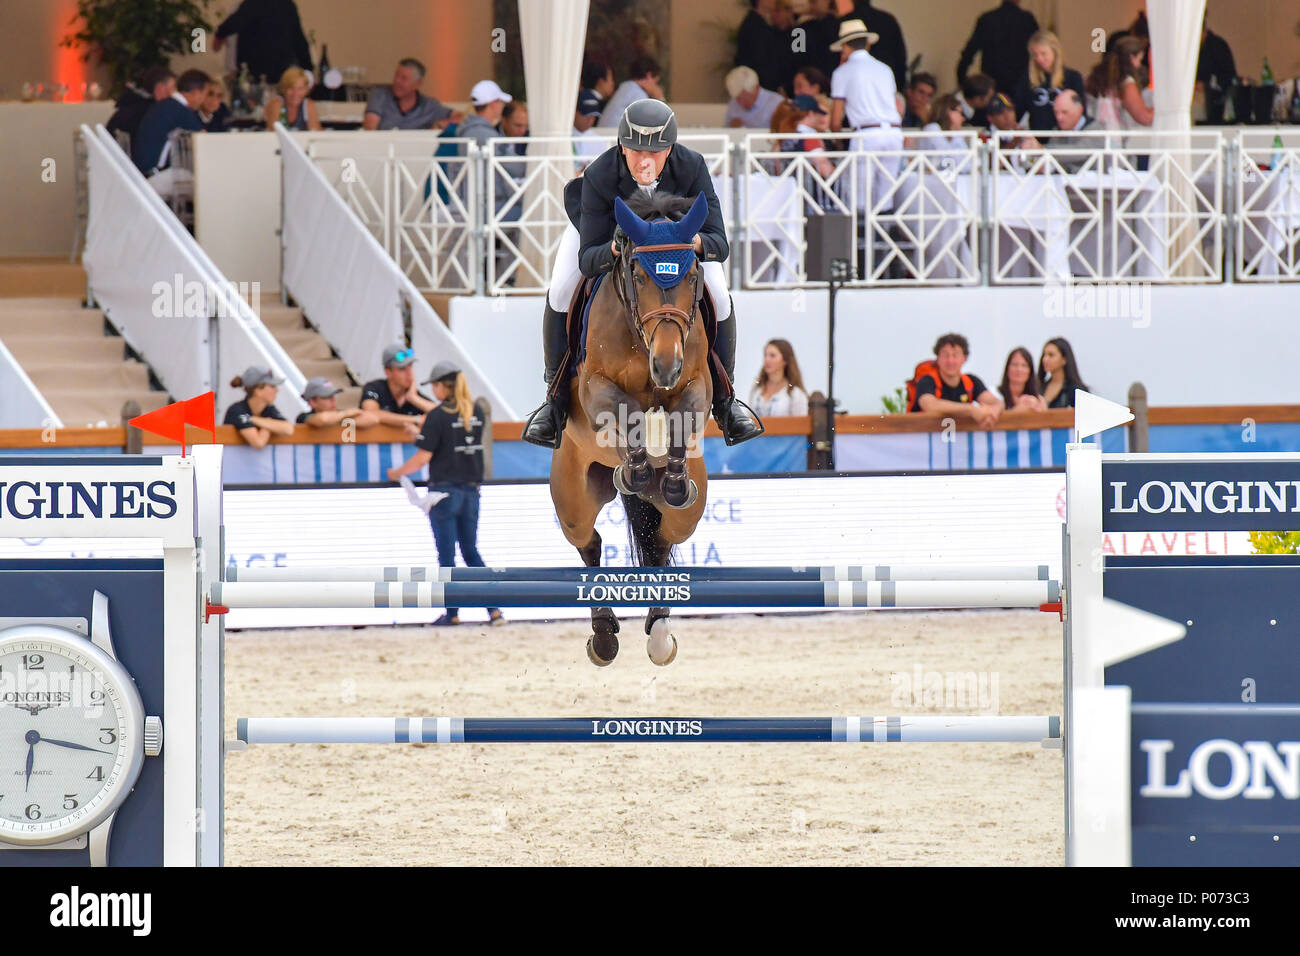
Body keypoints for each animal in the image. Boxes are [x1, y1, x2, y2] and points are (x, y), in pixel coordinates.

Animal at [546, 188, 717, 665]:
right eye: (639, 276)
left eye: (693, 274)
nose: (666, 365)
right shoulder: (594, 388)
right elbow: (626, 413)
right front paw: (636, 468)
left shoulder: (697, 385)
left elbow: (682, 416)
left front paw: (669, 479)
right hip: (572, 494)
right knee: (589, 543)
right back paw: (604, 636)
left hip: (691, 512)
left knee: (661, 538)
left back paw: (659, 632)